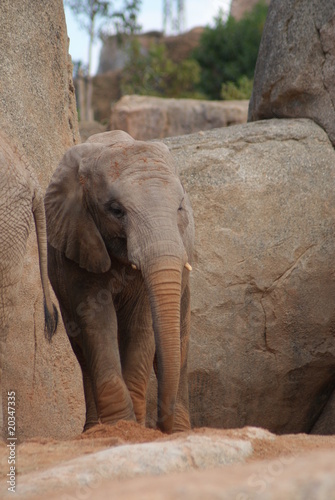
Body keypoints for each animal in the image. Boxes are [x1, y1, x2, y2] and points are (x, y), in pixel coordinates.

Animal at [46, 131, 196, 432]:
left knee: (181, 345)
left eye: (180, 207)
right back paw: (93, 429)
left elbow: (141, 325)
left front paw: (133, 427)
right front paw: (120, 426)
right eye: (116, 210)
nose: (159, 425)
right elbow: (97, 322)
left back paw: (179, 430)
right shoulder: (79, 242)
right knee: (82, 350)